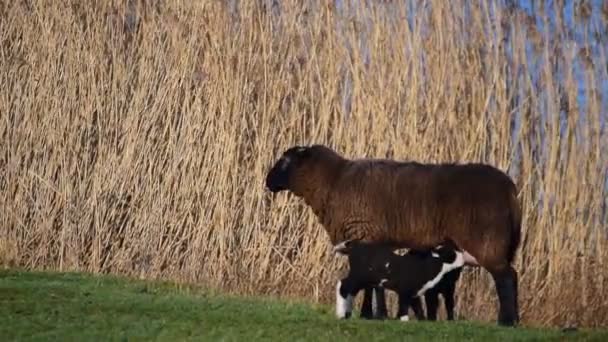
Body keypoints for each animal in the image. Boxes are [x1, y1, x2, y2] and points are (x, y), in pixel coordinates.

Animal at [266, 144, 524, 326]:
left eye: (286, 160)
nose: (267, 182)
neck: (333, 182)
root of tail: (510, 189)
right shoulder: (373, 241)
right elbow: (374, 282)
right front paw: (375, 314)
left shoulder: (363, 236)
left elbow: (369, 283)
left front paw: (368, 313)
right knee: (512, 276)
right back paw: (515, 320)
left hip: (488, 242)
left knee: (505, 278)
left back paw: (506, 321)